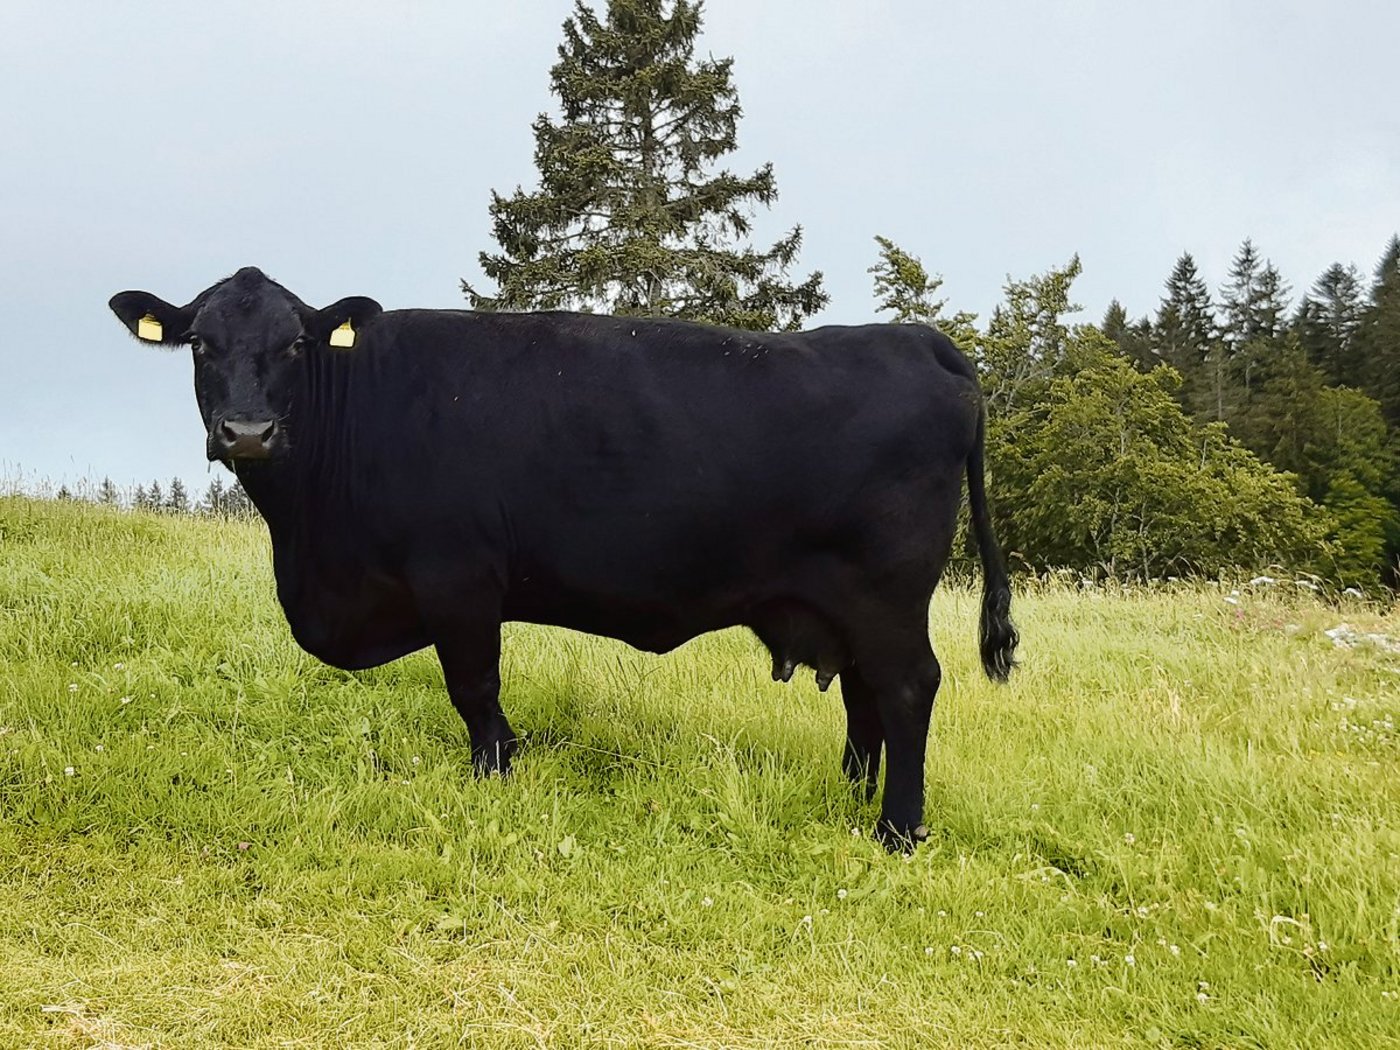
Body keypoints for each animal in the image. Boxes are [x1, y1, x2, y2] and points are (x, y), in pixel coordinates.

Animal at [109, 266, 1017, 849]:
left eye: (296, 344)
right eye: (200, 344)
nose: (247, 432)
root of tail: (919, 341)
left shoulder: (457, 577)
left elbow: (474, 689)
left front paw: (496, 776)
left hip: (887, 594)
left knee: (907, 688)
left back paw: (897, 830)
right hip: (845, 603)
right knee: (865, 696)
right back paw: (851, 795)